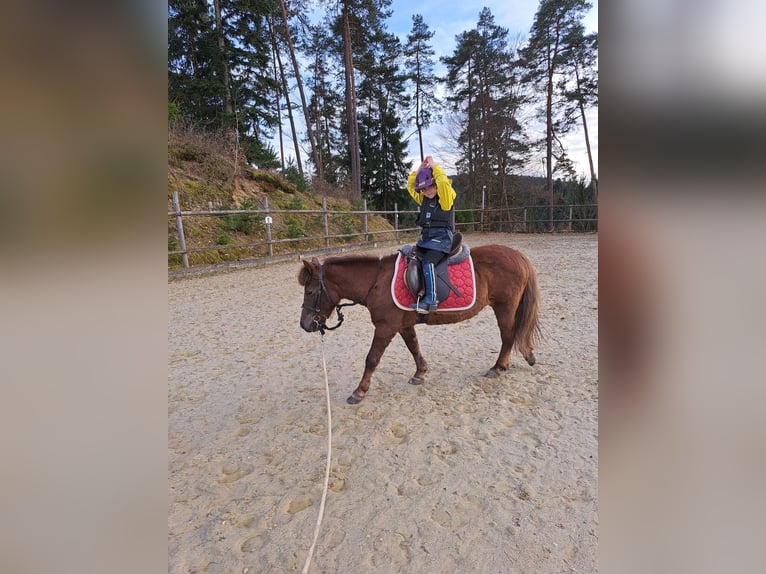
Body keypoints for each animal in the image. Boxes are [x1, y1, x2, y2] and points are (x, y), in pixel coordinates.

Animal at [296, 245, 544, 408]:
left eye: (310, 291)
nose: (305, 324)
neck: (377, 282)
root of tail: (518, 255)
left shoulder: (385, 328)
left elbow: (372, 359)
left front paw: (359, 391)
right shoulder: (403, 325)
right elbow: (414, 347)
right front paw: (420, 373)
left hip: (504, 307)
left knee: (508, 336)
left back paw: (499, 367)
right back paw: (527, 355)